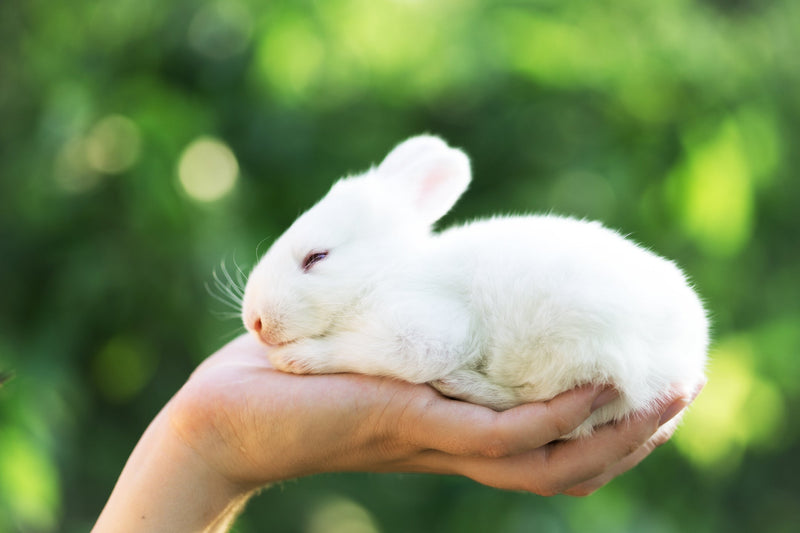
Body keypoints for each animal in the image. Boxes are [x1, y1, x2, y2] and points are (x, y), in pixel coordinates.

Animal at [241, 135, 709, 438]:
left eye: (316, 258)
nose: (256, 322)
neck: (384, 273)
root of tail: (684, 360)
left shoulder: (424, 333)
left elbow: (366, 351)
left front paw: (299, 358)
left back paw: (462, 385)